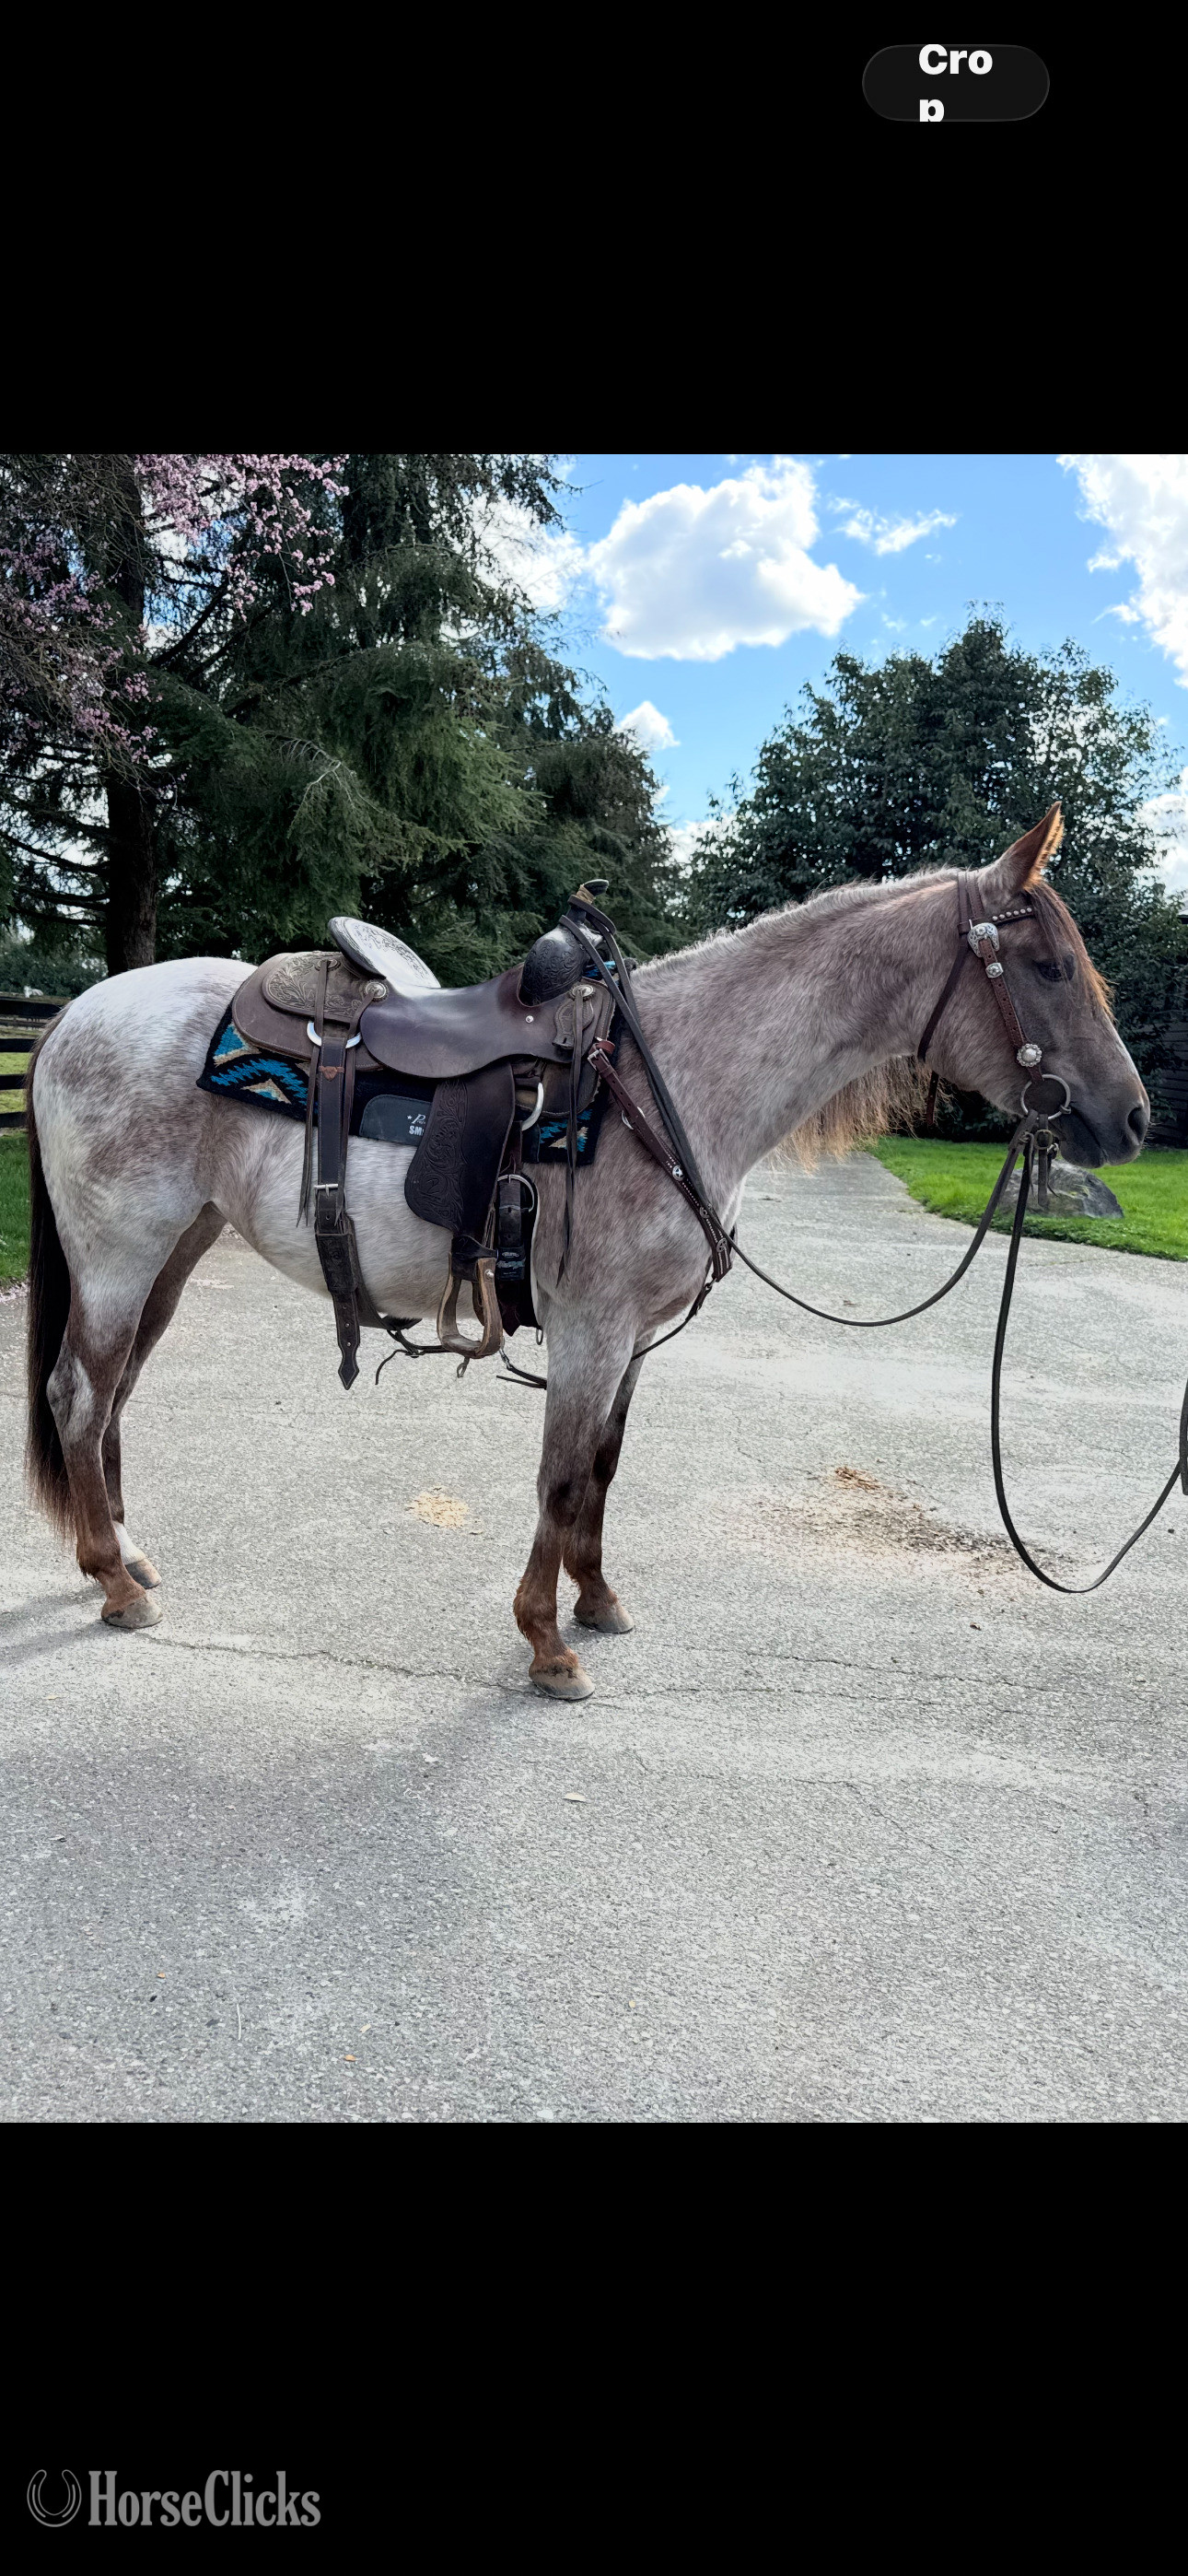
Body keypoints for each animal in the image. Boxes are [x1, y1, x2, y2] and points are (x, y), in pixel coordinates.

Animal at [24, 809, 1149, 1699]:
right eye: (1049, 967)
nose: (1132, 1119)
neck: (670, 1084)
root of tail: (73, 1012)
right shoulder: (591, 1330)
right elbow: (561, 1479)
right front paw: (546, 1646)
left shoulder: (635, 1340)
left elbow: (602, 1471)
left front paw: (597, 1599)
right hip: (121, 1252)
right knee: (80, 1394)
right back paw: (113, 1581)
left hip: (177, 1249)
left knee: (114, 1396)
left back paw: (127, 1555)